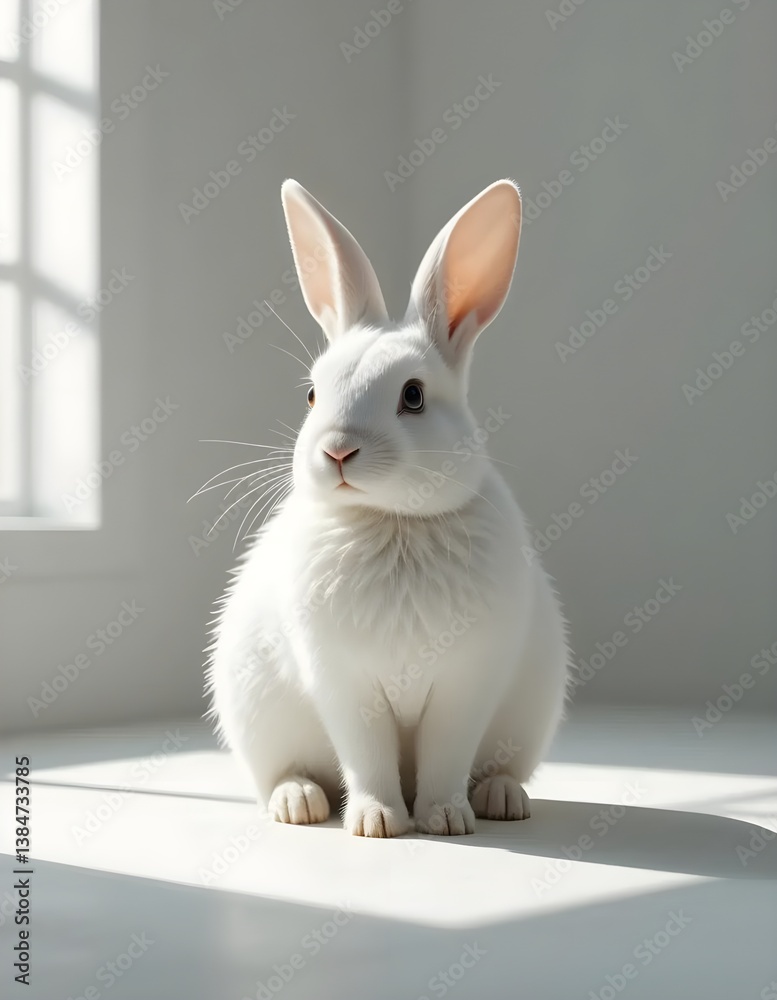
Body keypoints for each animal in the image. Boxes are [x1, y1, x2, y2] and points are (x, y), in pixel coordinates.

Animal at [206, 178, 570, 837]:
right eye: (311, 393)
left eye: (414, 396)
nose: (337, 450)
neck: (394, 522)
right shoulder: (345, 684)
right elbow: (367, 756)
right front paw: (377, 822)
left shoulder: (464, 685)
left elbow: (446, 755)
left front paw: (445, 820)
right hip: (258, 721)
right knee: (284, 774)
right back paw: (298, 803)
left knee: (498, 769)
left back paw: (502, 799)